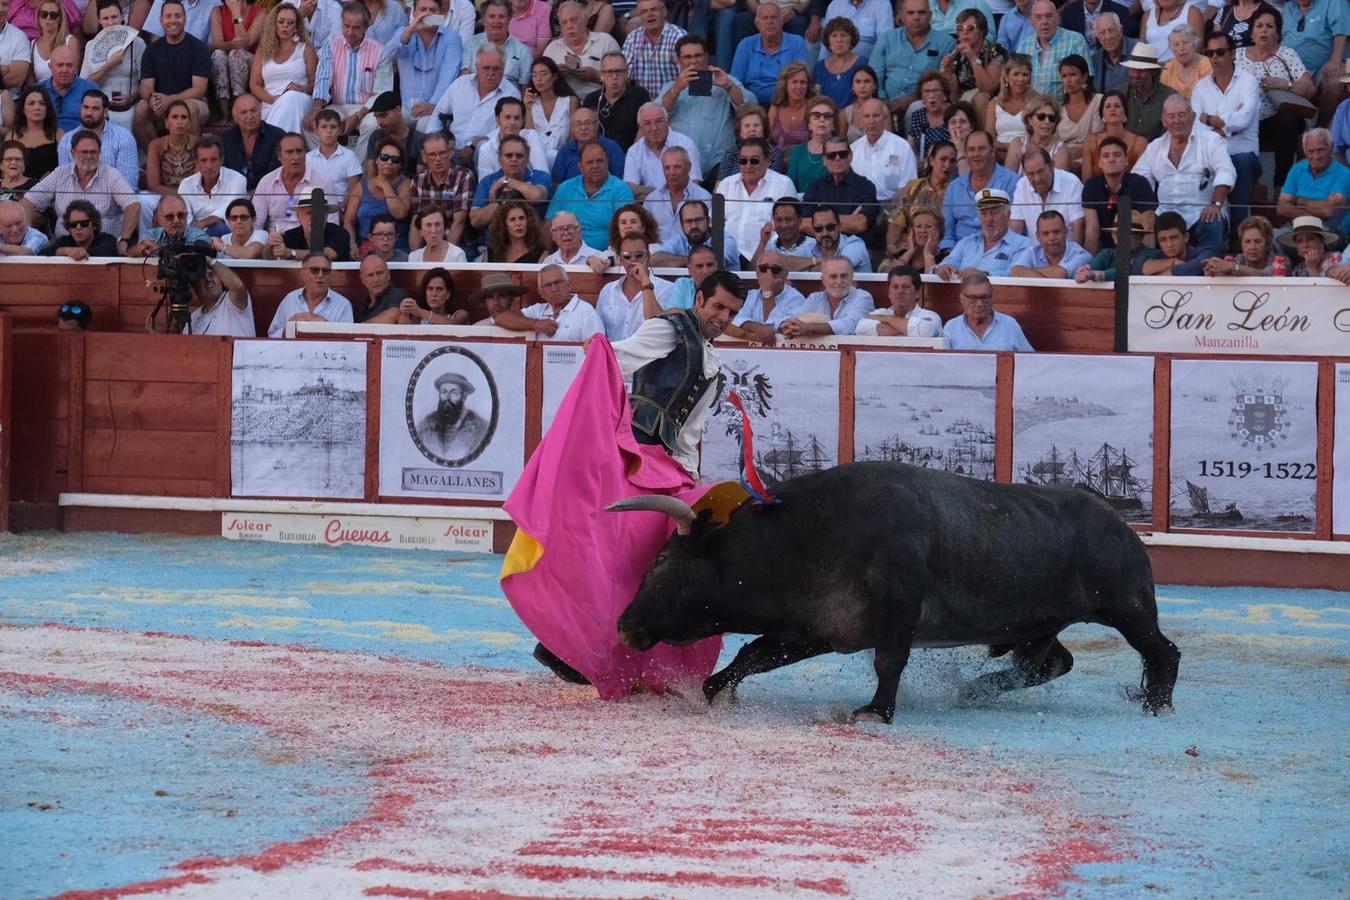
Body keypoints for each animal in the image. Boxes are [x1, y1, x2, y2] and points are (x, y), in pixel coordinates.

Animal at [612, 464, 1182, 723]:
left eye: (662, 563)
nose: (624, 625)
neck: (801, 537)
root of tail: (1118, 521)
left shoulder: (896, 608)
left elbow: (889, 662)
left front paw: (876, 712)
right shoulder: (818, 629)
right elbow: (755, 654)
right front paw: (714, 690)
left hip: (1126, 605)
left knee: (1162, 649)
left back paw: (1156, 703)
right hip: (1038, 624)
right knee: (1050, 662)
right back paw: (976, 690)